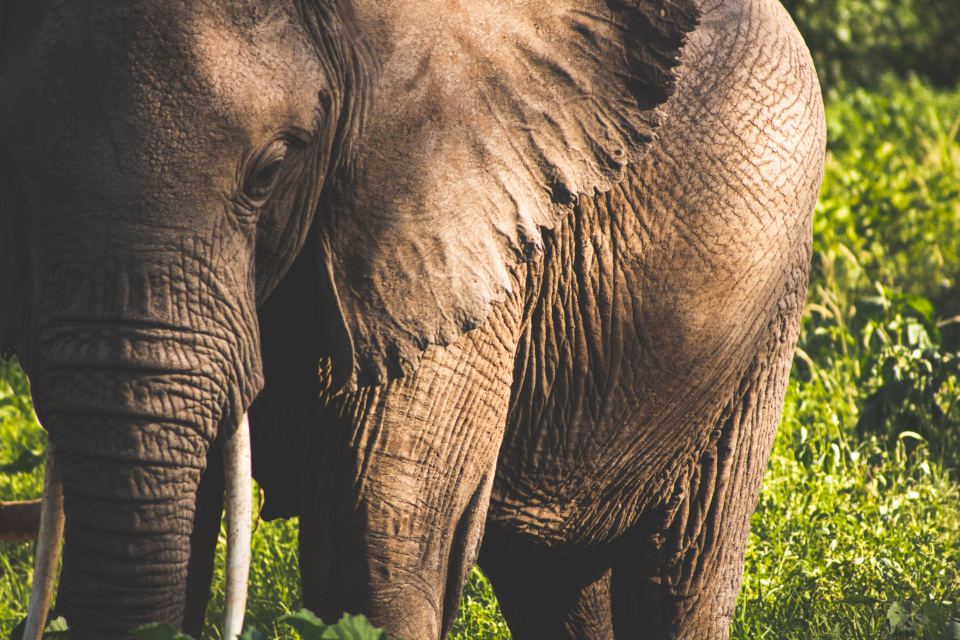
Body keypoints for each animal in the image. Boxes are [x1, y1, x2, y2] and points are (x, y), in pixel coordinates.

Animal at [0, 0, 825, 638]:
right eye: (17, 175)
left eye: (272, 170)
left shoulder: (455, 224)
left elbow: (368, 541)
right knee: (555, 583)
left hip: (763, 307)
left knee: (679, 575)